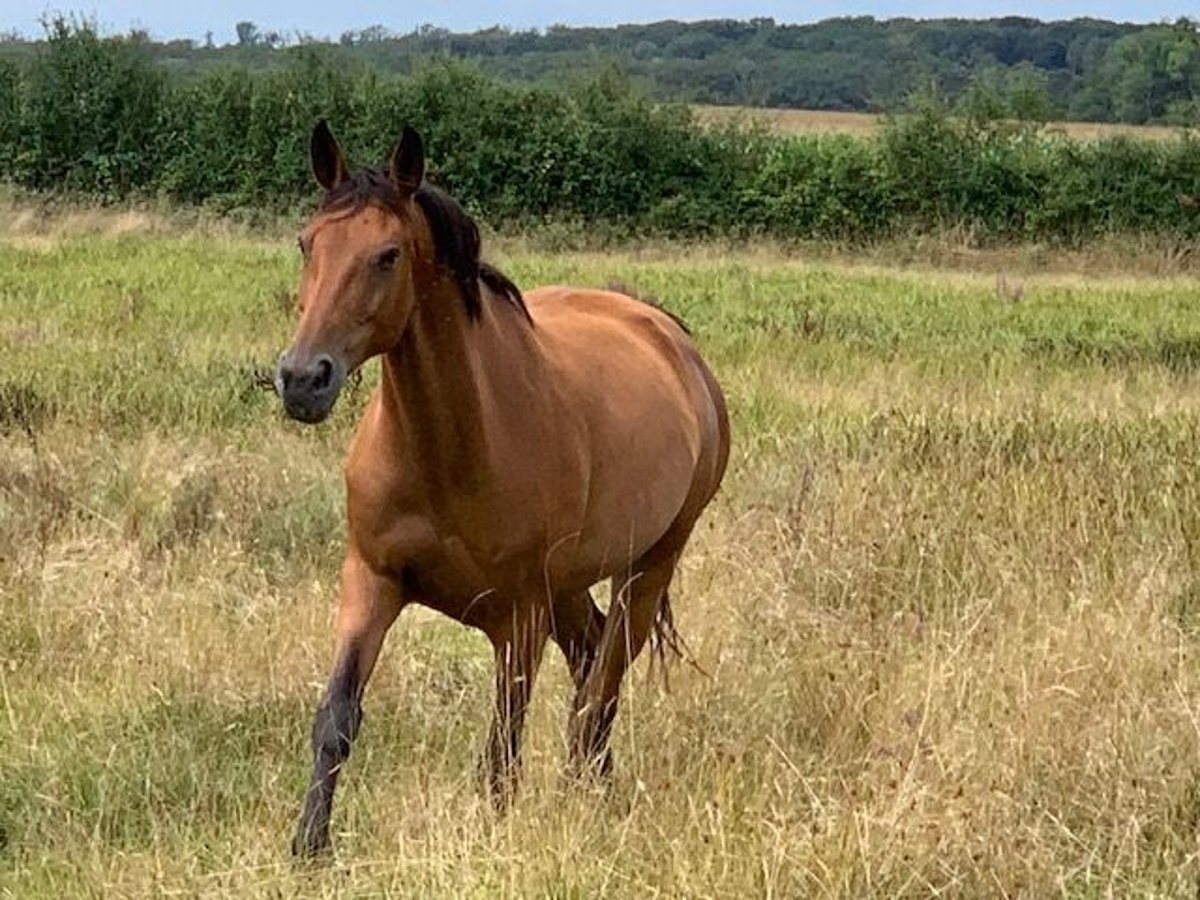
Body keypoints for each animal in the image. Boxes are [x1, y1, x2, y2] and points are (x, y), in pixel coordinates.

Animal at [277, 121, 729, 859]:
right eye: (307, 243)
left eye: (388, 255)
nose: (301, 379)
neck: (450, 453)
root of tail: (669, 337)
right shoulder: (371, 580)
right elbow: (336, 718)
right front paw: (309, 846)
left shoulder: (518, 618)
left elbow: (502, 749)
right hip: (569, 587)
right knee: (588, 664)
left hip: (647, 569)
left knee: (601, 687)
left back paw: (586, 794)